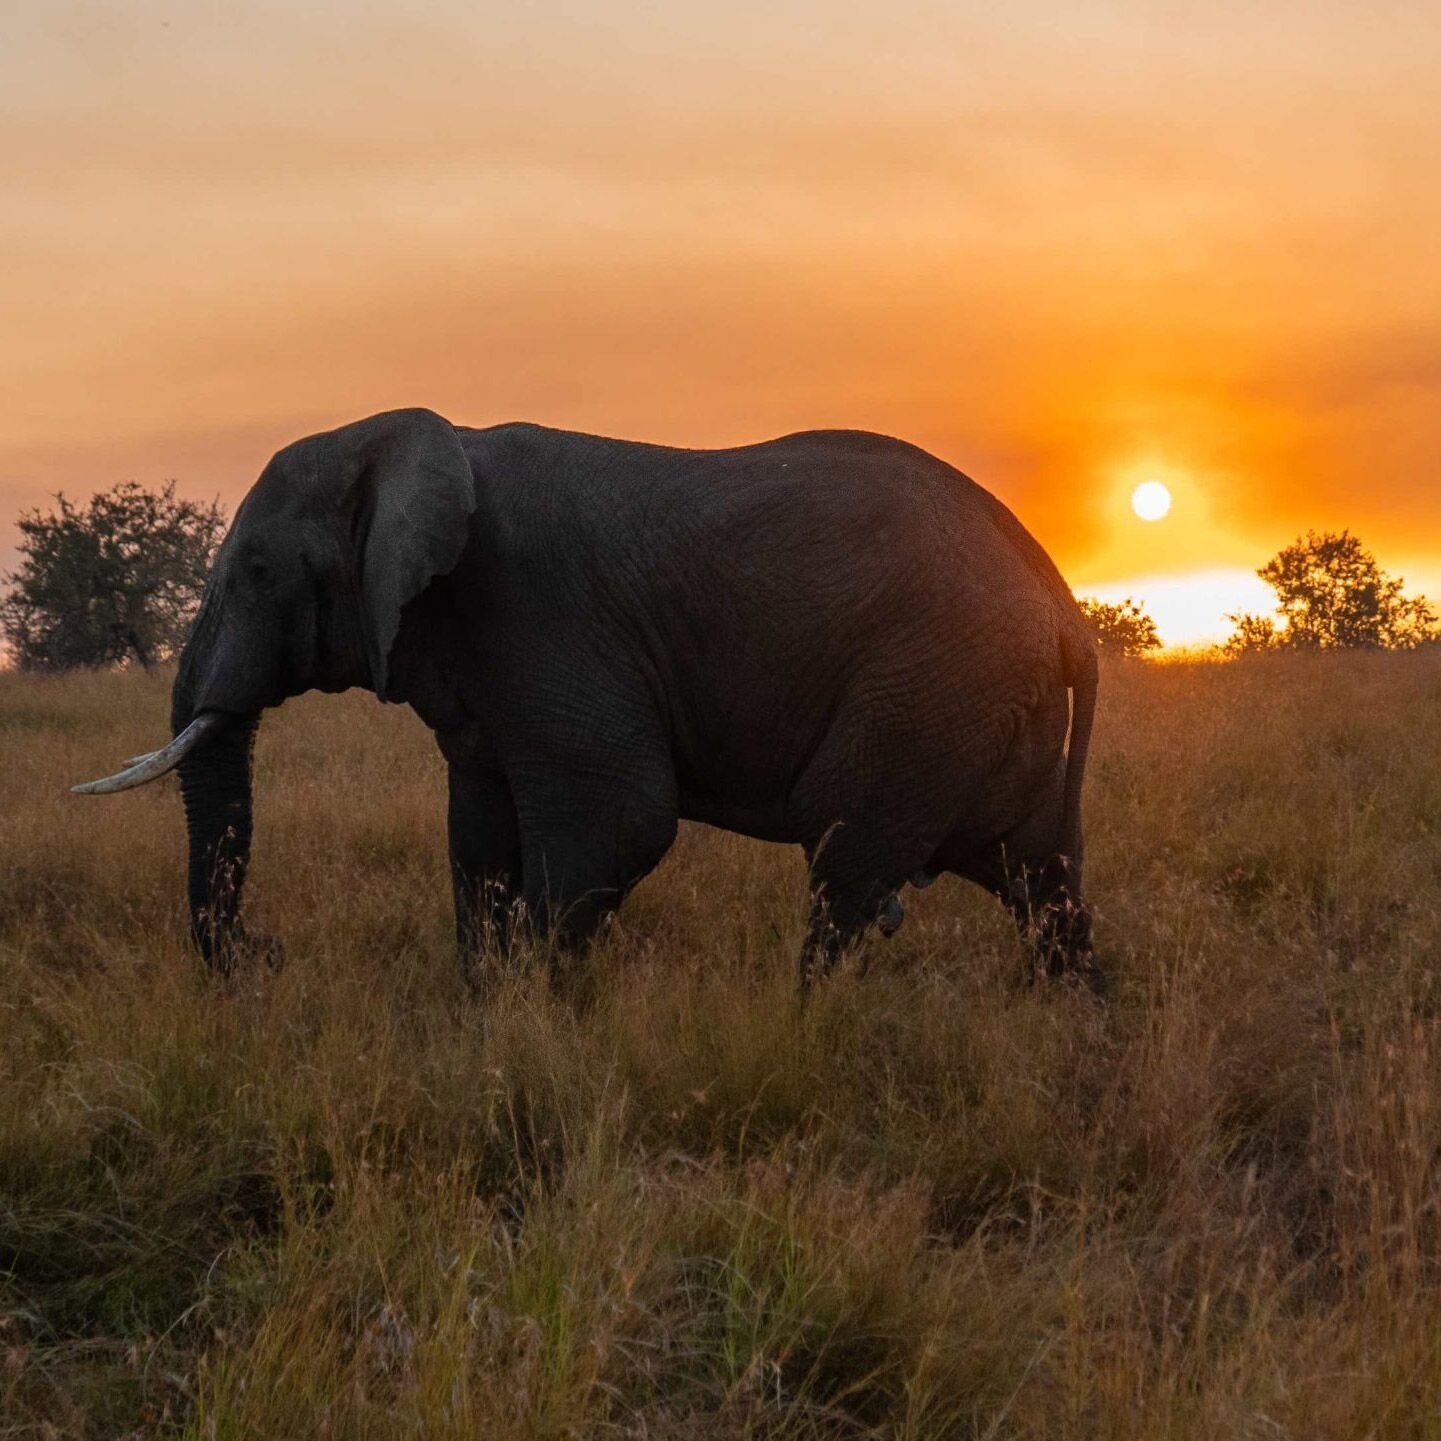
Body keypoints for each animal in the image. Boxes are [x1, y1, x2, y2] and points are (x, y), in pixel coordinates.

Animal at [73, 406, 1095, 991]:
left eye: (255, 569)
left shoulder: (539, 610)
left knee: (845, 860)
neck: (403, 441)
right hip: (980, 707)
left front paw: (537, 1023)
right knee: (1038, 880)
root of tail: (1061, 604)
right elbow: (478, 836)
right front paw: (485, 1015)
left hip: (929, 686)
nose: (267, 955)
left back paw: (809, 1025)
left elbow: (618, 818)